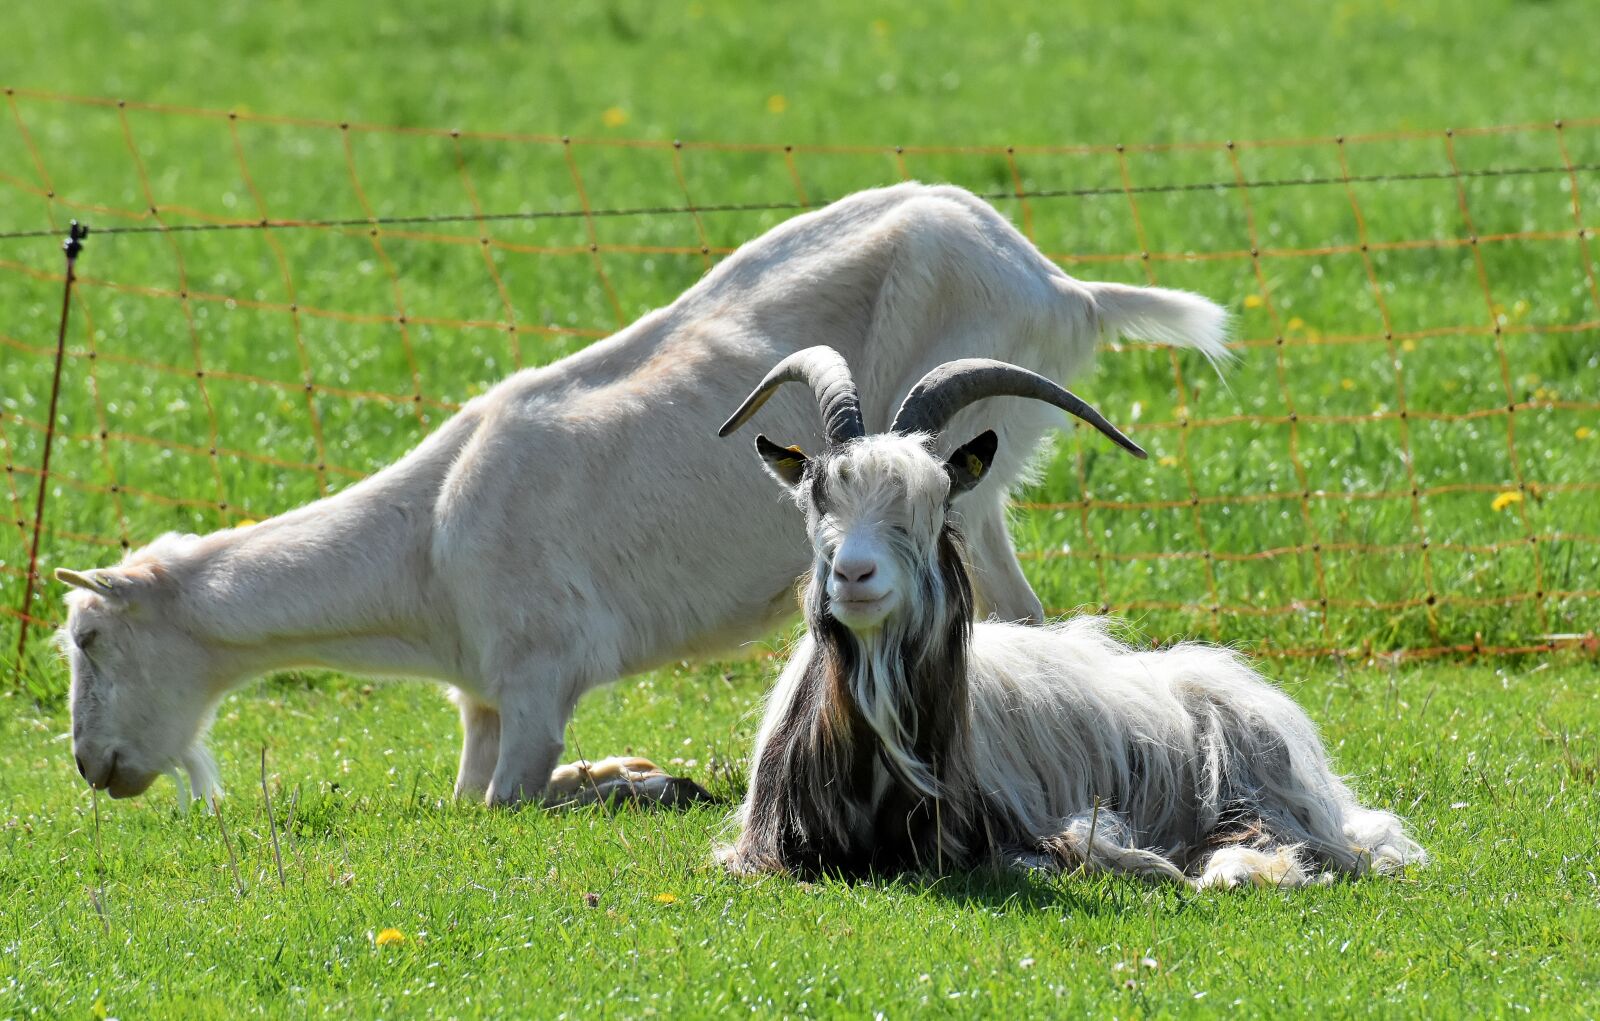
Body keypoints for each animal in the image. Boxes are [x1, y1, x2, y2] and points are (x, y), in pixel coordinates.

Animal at [53, 182, 1227, 808]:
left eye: (90, 640)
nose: (91, 766)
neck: (427, 545)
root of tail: (1064, 287)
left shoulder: (540, 679)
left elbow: (512, 802)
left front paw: (642, 780)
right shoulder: (485, 699)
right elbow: (469, 797)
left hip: (967, 481)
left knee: (1019, 615)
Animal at [718, 347, 1426, 887]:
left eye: (938, 501)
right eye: (816, 497)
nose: (854, 574)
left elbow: (1054, 854)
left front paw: (1150, 867)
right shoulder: (759, 852)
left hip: (1248, 778)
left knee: (1289, 842)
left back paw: (1237, 871)